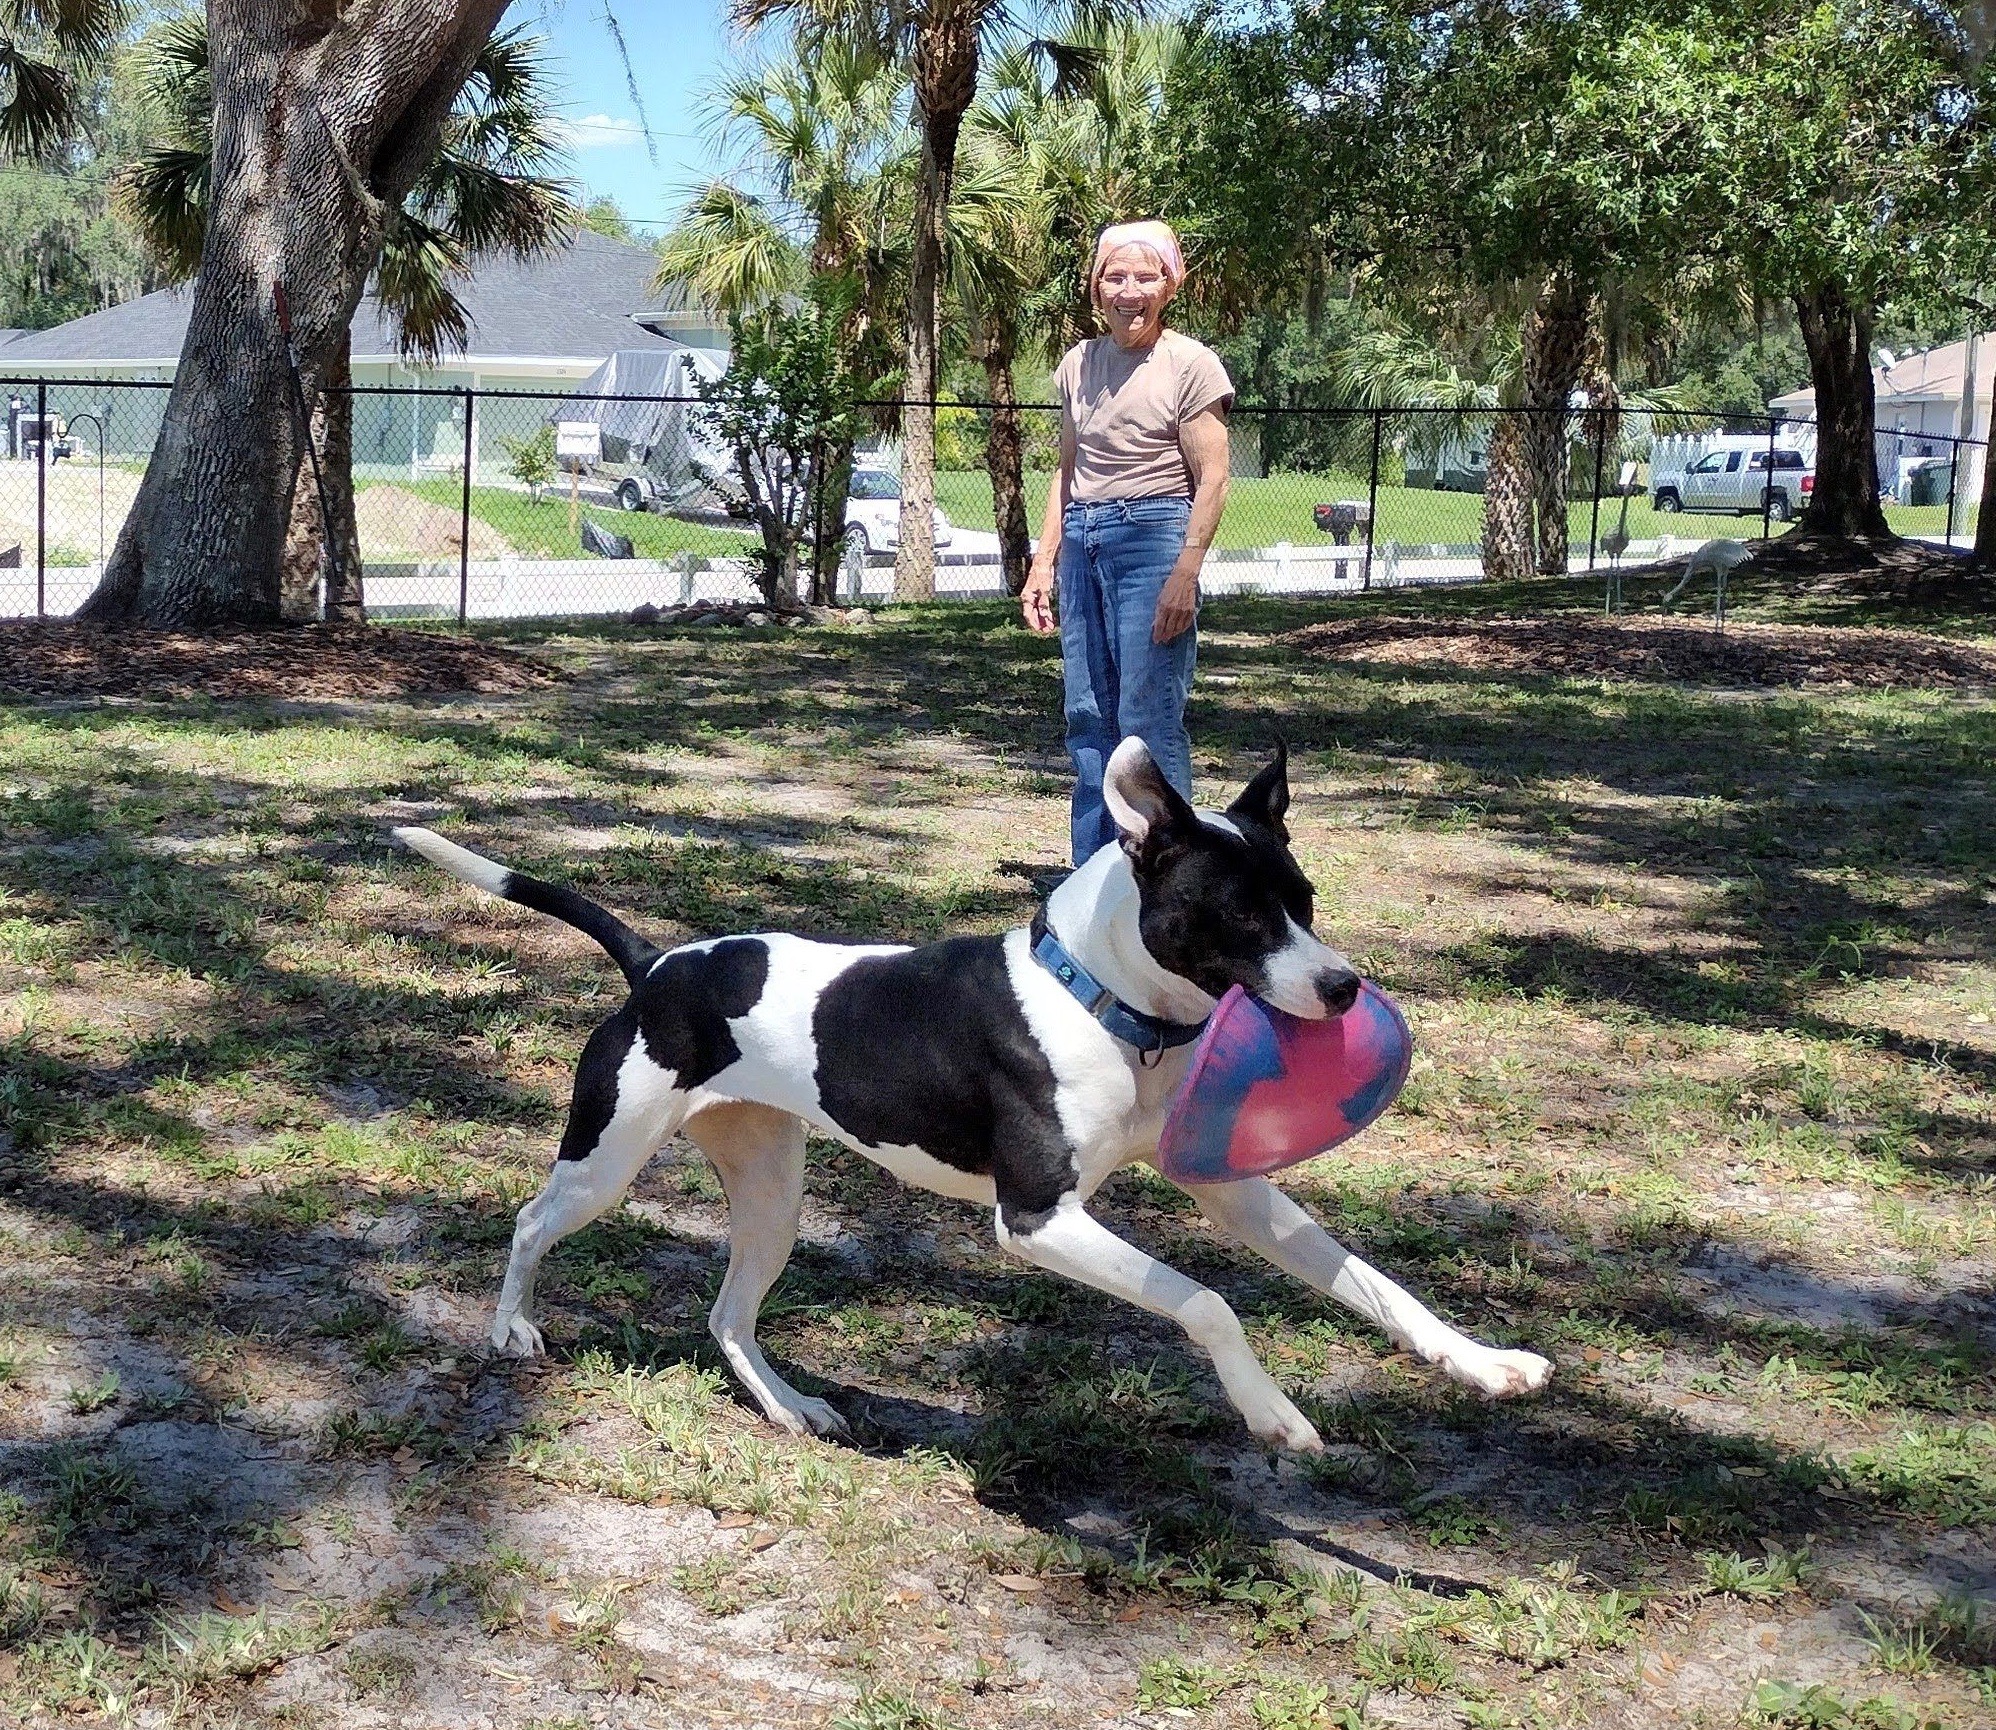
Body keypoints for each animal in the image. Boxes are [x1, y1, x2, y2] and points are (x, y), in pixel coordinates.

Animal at [397, 738, 1548, 1452]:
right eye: (1243, 913)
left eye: (1306, 900)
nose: (1345, 987)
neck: (1101, 1005)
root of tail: (660, 963)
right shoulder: (1036, 1219)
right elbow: (1204, 1300)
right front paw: (1272, 1415)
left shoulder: (1236, 1193)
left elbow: (1375, 1285)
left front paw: (1485, 1364)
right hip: (608, 1154)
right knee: (531, 1220)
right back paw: (511, 1328)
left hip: (770, 1191)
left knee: (727, 1313)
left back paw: (792, 1406)